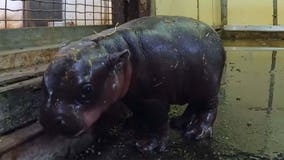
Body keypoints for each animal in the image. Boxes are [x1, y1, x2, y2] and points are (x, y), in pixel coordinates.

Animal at [40, 15, 226, 151]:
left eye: (87, 89)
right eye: (43, 82)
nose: (50, 119)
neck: (114, 48)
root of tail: (215, 34)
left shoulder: (155, 99)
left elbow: (158, 121)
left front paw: (148, 145)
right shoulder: (133, 96)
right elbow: (138, 113)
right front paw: (132, 127)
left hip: (209, 85)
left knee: (210, 107)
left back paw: (196, 132)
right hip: (194, 85)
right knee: (194, 104)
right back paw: (180, 123)